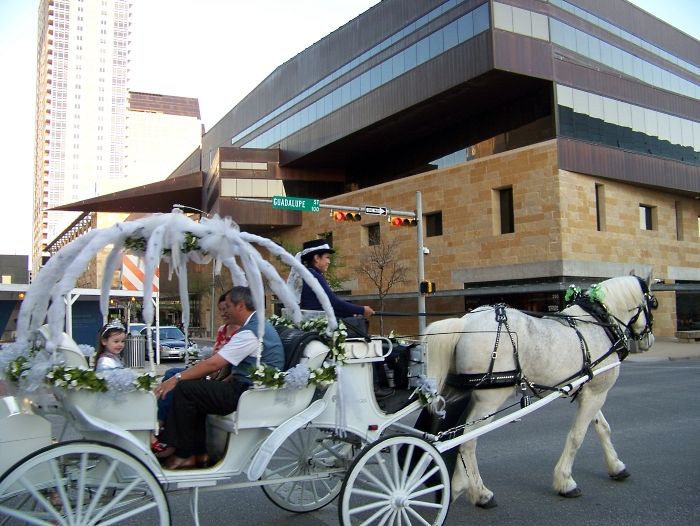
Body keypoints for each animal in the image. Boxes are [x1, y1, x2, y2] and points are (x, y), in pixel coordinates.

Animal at [423, 274, 657, 507]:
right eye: (653, 303)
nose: (649, 340)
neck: (599, 323)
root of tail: (465, 322)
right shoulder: (597, 393)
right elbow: (577, 436)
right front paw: (565, 482)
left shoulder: (589, 391)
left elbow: (602, 428)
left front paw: (616, 466)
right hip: (488, 400)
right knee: (467, 442)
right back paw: (480, 493)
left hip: (462, 393)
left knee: (450, 435)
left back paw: (459, 485)